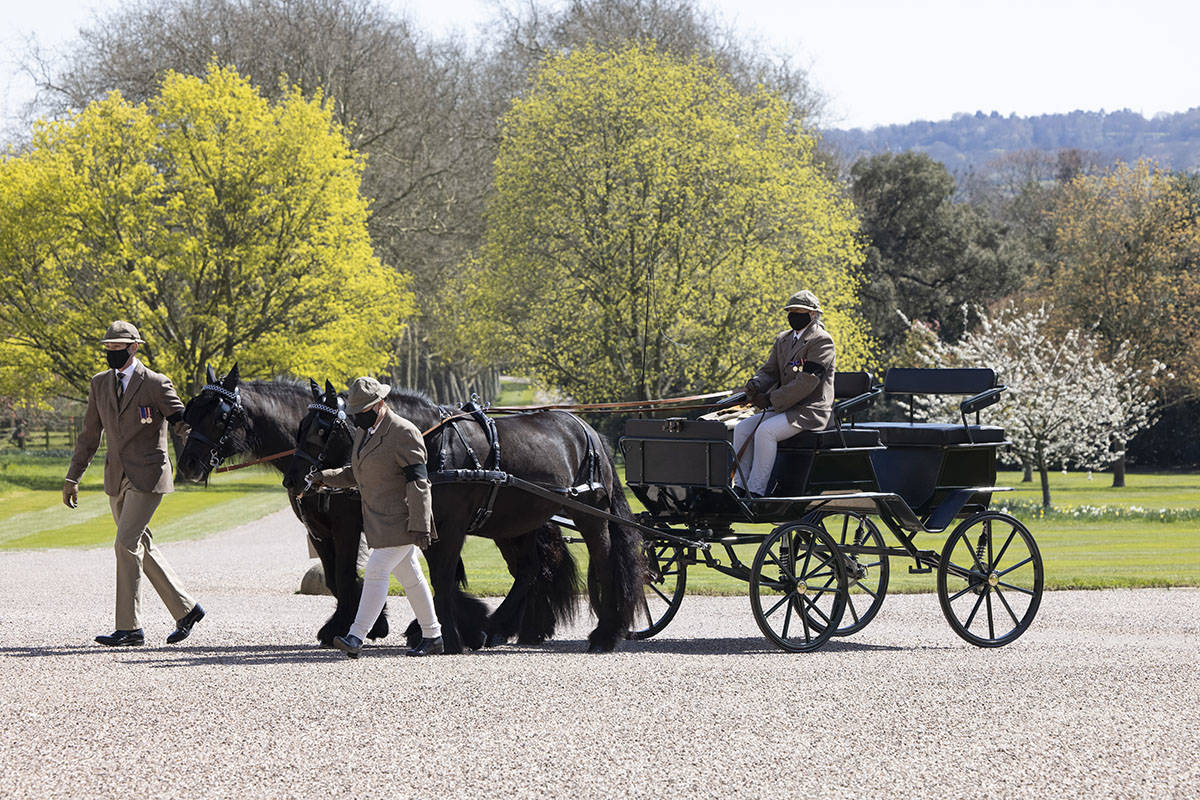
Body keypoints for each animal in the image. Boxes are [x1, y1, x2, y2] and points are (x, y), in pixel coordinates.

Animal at [285, 381, 648, 652]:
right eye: (300, 426)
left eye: (321, 429)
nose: (293, 479)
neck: (432, 443)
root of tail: (587, 430)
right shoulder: (427, 524)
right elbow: (434, 577)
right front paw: (444, 631)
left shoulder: (450, 526)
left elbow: (442, 576)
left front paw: (448, 637)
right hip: (519, 522)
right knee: (529, 570)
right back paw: (497, 627)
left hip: (590, 514)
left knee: (603, 561)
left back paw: (606, 633)